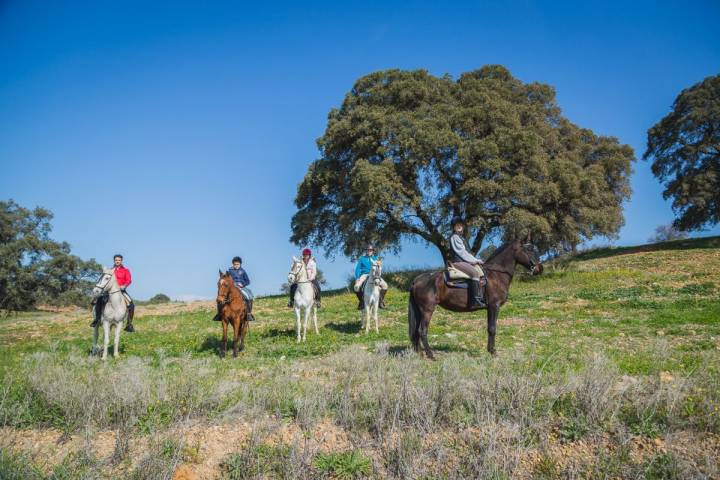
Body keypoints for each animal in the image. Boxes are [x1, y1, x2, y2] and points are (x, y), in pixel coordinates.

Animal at [408, 239, 544, 356]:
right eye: (529, 250)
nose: (539, 269)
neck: (496, 275)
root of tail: (417, 280)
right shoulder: (494, 306)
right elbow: (492, 328)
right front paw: (493, 352)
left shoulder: (490, 308)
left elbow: (490, 328)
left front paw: (490, 350)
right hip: (427, 310)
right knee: (422, 331)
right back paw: (431, 355)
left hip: (419, 311)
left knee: (416, 332)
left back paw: (419, 353)